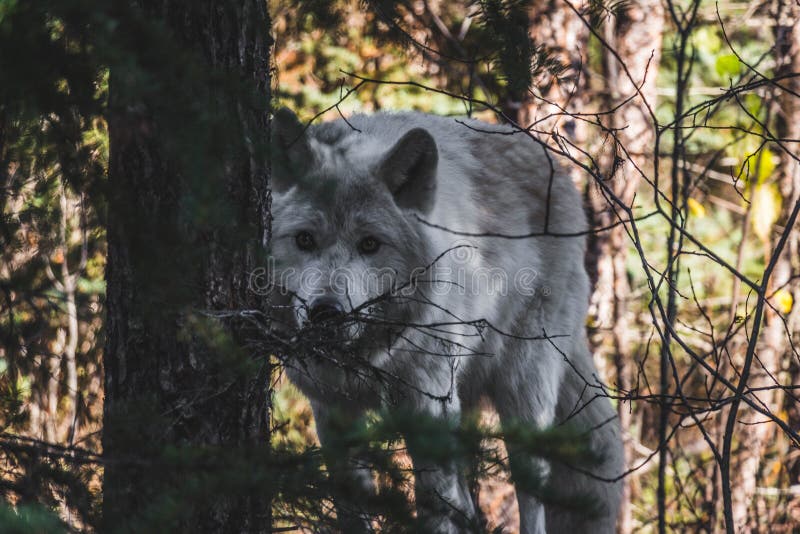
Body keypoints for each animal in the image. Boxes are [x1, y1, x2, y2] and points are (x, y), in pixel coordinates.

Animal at [268, 109, 624, 534]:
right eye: (304, 240)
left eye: (370, 244)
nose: (325, 312)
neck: (370, 358)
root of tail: (560, 169)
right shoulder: (333, 413)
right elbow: (353, 511)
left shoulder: (428, 410)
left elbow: (434, 512)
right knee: (466, 501)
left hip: (523, 393)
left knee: (532, 497)